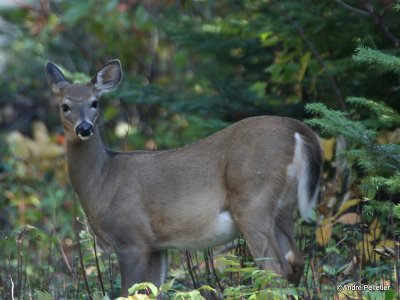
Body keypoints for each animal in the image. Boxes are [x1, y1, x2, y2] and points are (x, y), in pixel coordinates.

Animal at [46, 59, 322, 296]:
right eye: (65, 106)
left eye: (94, 102)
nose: (84, 128)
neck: (102, 180)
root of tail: (298, 130)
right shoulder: (157, 245)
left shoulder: (131, 237)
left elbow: (128, 293)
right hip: (283, 207)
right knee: (296, 263)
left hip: (253, 199)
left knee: (275, 270)